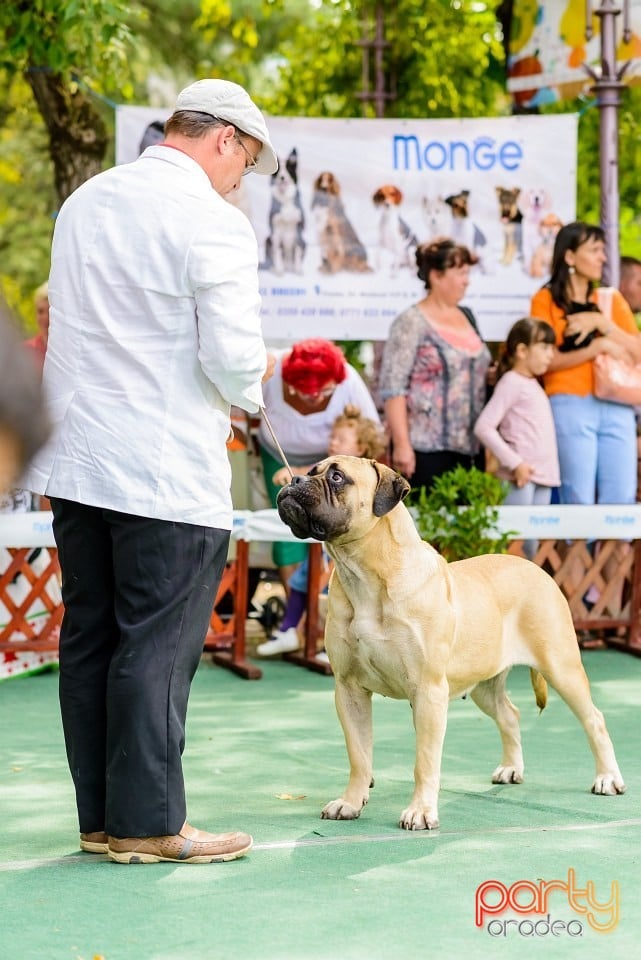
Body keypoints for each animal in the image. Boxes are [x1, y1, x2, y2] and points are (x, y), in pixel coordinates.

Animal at [276, 454, 624, 828]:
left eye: (337, 477)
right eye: (311, 471)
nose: (294, 480)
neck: (366, 574)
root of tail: (538, 570)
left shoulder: (427, 691)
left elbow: (424, 761)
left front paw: (420, 811)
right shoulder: (349, 688)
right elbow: (359, 754)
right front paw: (351, 802)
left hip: (561, 667)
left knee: (594, 719)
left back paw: (607, 778)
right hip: (484, 683)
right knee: (510, 715)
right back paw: (511, 768)